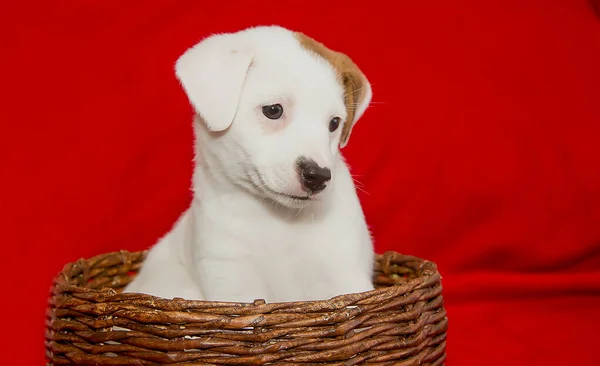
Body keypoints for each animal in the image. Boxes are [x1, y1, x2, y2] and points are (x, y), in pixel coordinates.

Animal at [123, 25, 372, 304]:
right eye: (273, 110)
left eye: (334, 123)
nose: (318, 176)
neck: (278, 220)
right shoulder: (230, 281)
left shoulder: (345, 274)